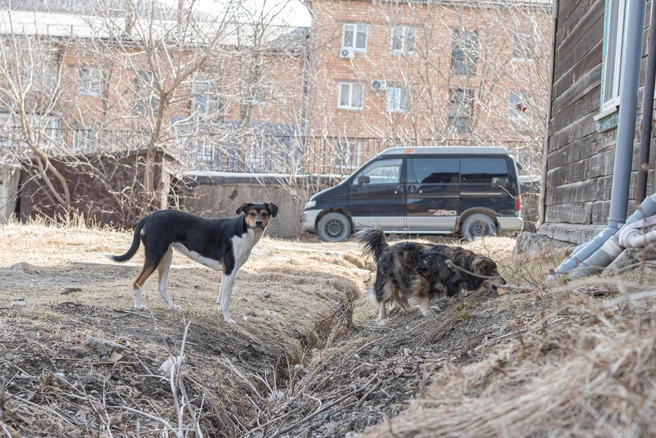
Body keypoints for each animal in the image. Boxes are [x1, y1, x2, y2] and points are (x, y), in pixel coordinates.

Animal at [104, 204, 276, 324]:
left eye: (264, 214)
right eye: (251, 213)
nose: (258, 222)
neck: (244, 231)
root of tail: (150, 216)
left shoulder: (227, 272)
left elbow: (221, 296)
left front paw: (220, 312)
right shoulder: (230, 270)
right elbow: (226, 299)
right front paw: (228, 319)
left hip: (166, 257)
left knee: (161, 287)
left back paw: (172, 307)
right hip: (155, 256)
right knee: (137, 283)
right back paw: (138, 307)